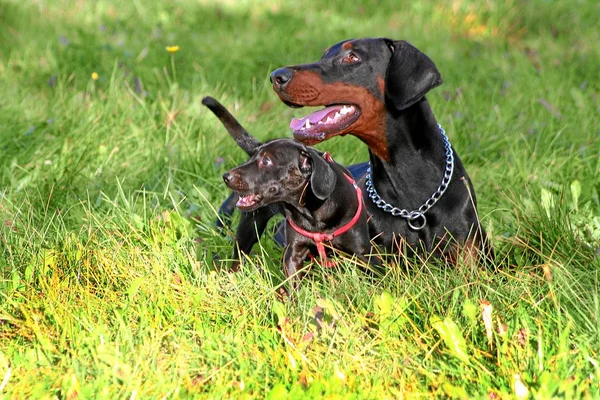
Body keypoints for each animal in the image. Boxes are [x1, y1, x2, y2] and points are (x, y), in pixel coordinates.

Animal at [204, 97, 378, 284]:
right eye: (252, 159)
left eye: (266, 161)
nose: (226, 176)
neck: (314, 213)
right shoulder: (294, 253)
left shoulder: (364, 253)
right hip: (249, 227)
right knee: (238, 258)